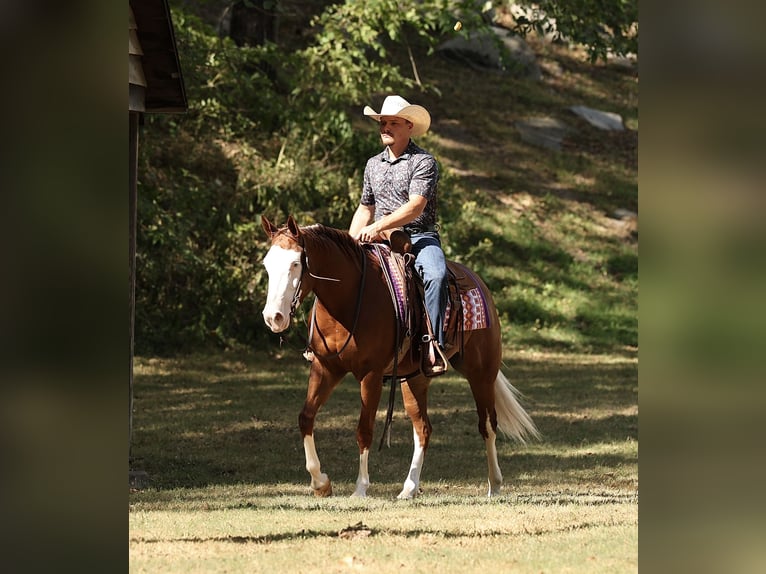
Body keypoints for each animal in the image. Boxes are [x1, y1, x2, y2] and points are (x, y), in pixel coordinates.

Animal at [260, 215, 539, 498]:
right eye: (267, 265)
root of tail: (478, 282)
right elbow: (306, 417)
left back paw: (494, 484)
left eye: (295, 263)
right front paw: (321, 483)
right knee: (423, 428)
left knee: (488, 424)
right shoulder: (325, 367)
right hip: (416, 378)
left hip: (481, 373)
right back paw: (409, 487)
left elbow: (364, 430)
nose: (273, 318)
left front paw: (360, 488)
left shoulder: (371, 375)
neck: (349, 302)